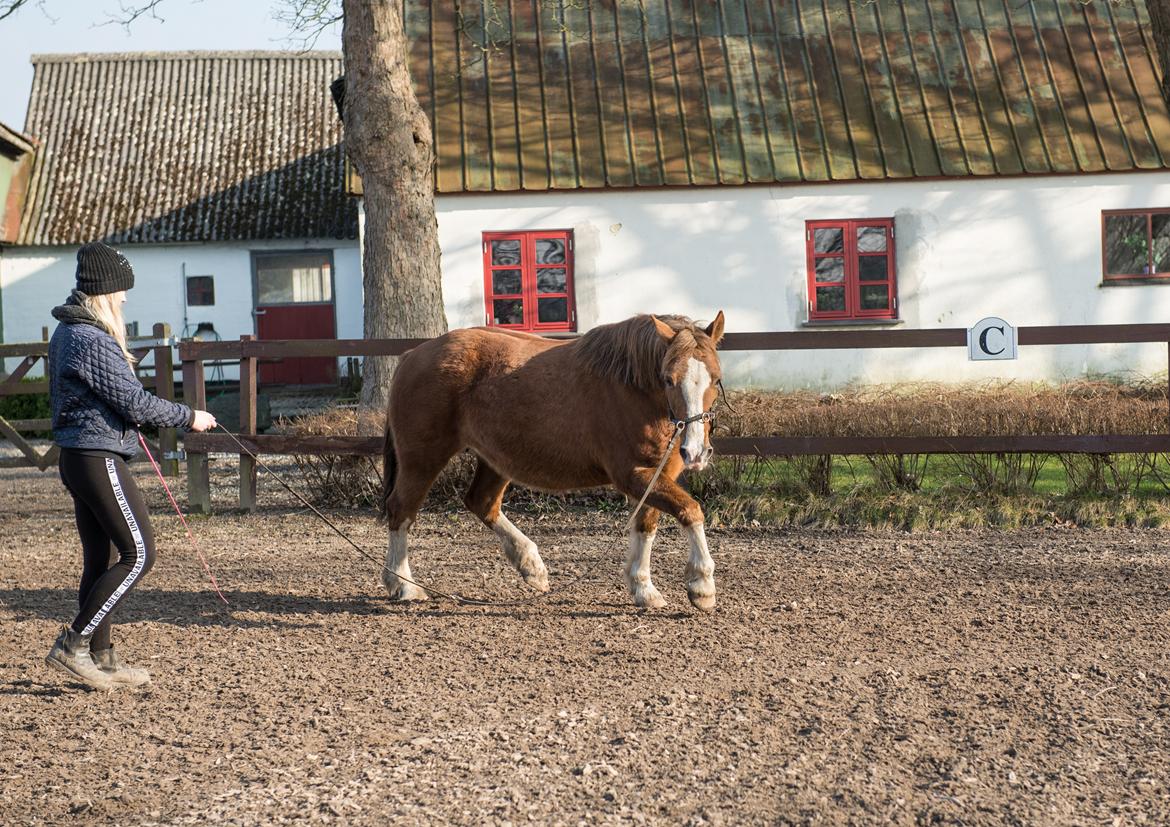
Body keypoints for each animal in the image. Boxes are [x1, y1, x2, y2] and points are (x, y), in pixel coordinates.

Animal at [383, 311, 725, 608]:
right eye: (668, 379)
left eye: (715, 378)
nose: (696, 451)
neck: (633, 387)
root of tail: (412, 354)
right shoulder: (633, 474)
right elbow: (690, 510)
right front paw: (702, 585)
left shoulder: (658, 474)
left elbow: (646, 525)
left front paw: (643, 588)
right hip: (421, 459)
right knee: (401, 510)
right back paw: (403, 584)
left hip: (496, 460)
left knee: (481, 502)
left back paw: (531, 565)